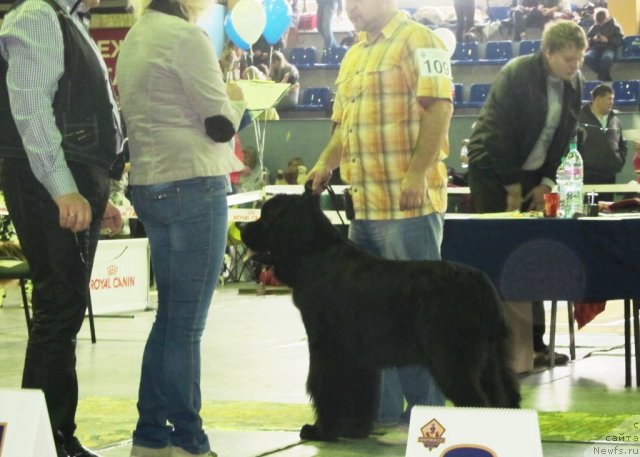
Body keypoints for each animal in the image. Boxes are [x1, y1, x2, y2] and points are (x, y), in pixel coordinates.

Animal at [240, 190, 520, 442]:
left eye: (265, 218)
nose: (241, 226)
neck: (314, 254)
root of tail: (480, 285)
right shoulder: (356, 356)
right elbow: (358, 392)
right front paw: (354, 430)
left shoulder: (327, 348)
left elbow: (324, 387)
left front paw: (321, 431)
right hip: (492, 359)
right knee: (506, 396)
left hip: (452, 357)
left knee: (478, 401)